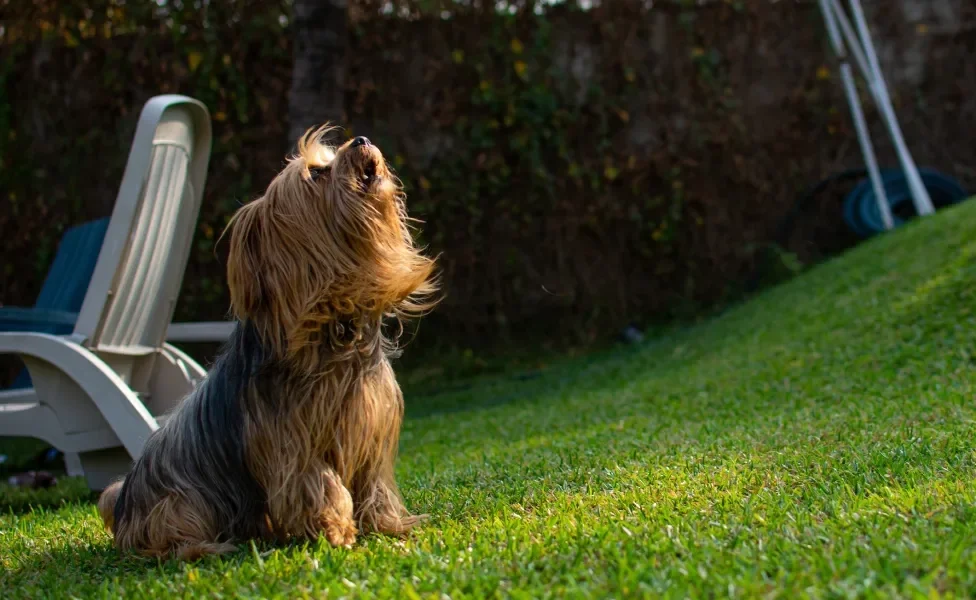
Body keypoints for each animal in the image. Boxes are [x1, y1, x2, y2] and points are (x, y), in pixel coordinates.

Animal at [95, 126, 438, 564]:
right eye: (317, 173)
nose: (361, 139)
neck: (332, 322)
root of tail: (122, 504)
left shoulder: (370, 426)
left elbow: (372, 482)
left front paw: (388, 525)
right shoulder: (290, 439)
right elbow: (316, 481)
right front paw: (334, 529)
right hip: (180, 501)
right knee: (173, 535)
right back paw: (207, 547)